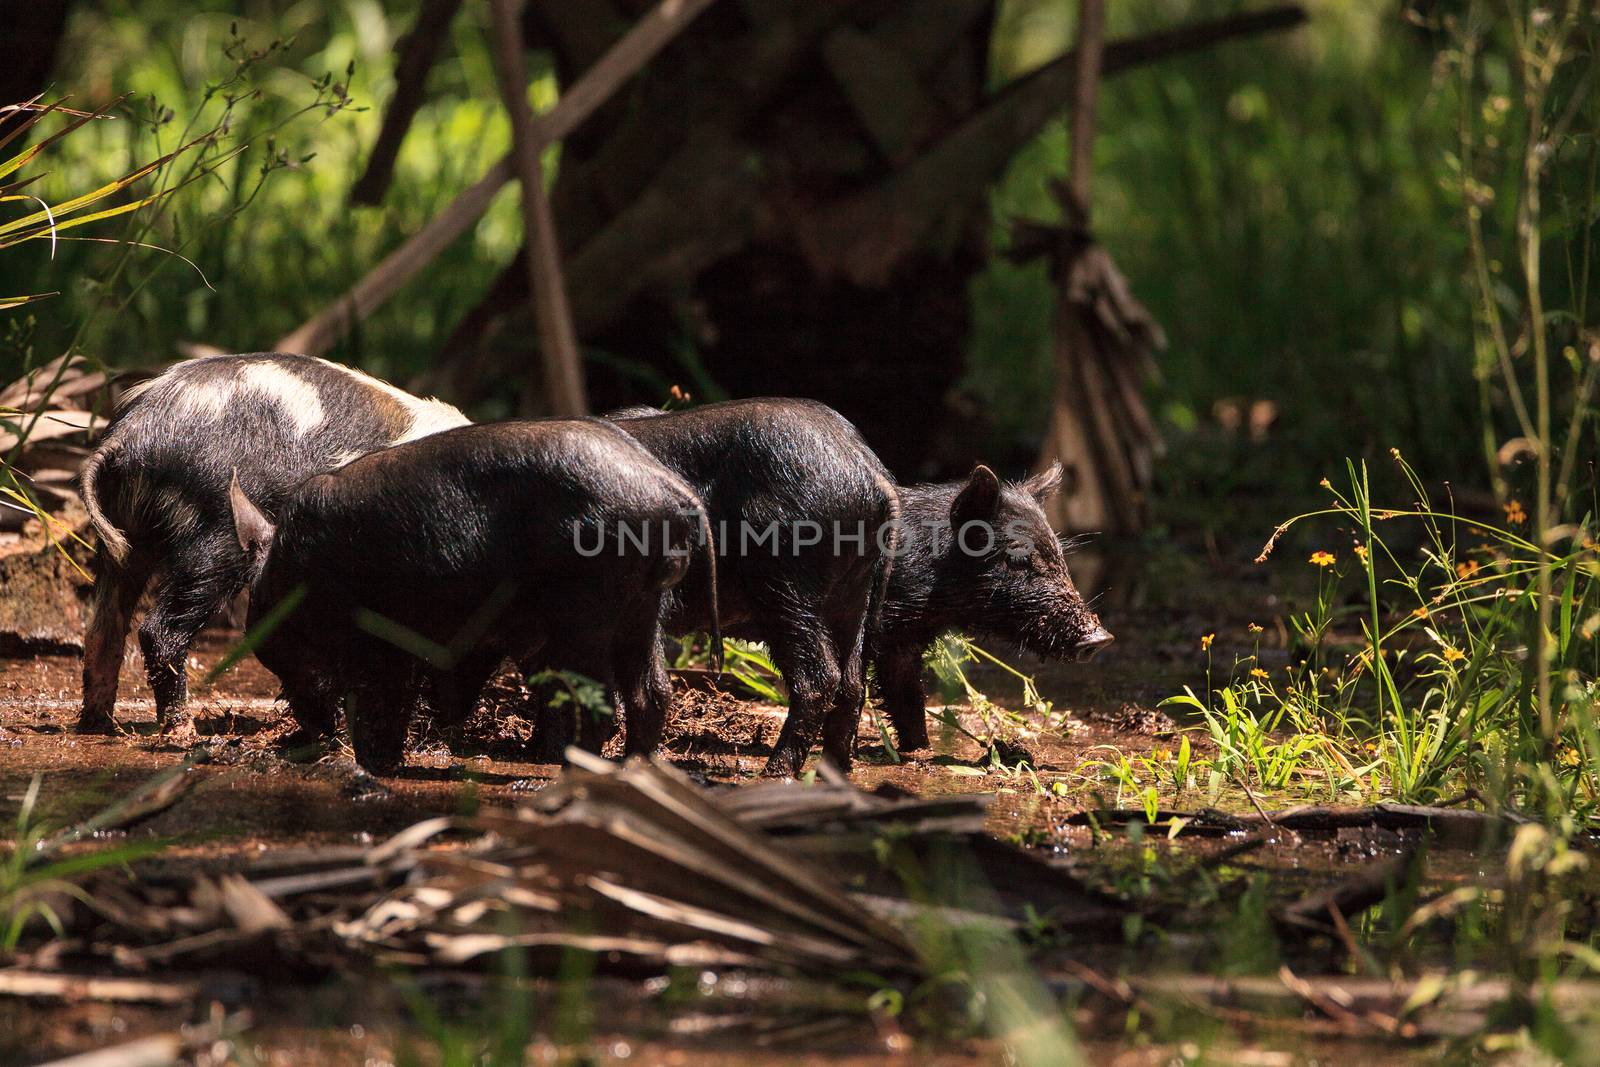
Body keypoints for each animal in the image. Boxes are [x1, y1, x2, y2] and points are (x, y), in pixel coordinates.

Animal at [78, 355, 467, 739]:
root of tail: (128, 434)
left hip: (127, 536)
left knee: (103, 628)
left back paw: (98, 724)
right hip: (216, 529)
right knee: (158, 628)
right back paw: (183, 731)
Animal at [233, 419, 716, 777]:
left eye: (277, 641)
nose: (312, 733)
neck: (295, 578)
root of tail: (669, 488)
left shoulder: (373, 633)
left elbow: (381, 696)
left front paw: (372, 766)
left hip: (587, 609)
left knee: (602, 703)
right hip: (643, 606)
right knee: (652, 693)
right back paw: (633, 772)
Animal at [608, 399, 896, 777]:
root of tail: (870, 471)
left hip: (785, 582)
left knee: (819, 679)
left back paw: (774, 773)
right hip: (852, 595)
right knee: (852, 683)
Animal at [876, 463, 1113, 751]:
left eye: (1059, 556)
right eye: (1018, 558)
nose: (1102, 638)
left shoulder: (904, 639)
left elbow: (907, 696)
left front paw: (920, 749)